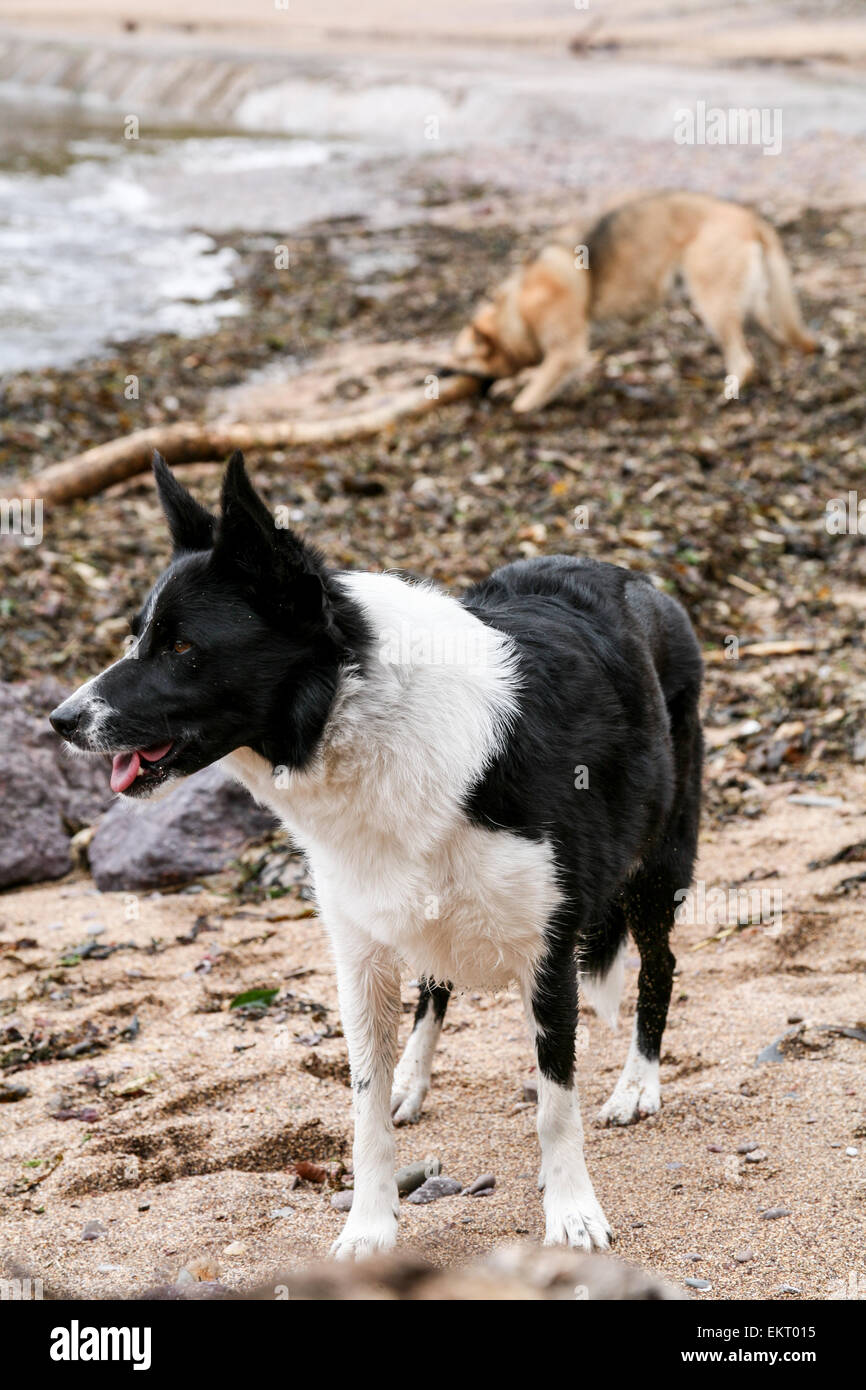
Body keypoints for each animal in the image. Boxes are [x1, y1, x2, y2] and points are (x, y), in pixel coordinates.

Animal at [48, 455, 706, 1262]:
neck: (355, 711)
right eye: (138, 635)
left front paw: (572, 1212)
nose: (60, 720)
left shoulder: (546, 948)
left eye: (180, 647)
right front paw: (369, 1224)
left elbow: (556, 1102)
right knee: (435, 988)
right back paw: (412, 1081)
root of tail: (642, 582)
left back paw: (638, 1085)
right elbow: (364, 1109)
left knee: (659, 965)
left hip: (657, 864)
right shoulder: (359, 949)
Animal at [453, 194, 817, 411]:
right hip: (745, 306)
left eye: (462, 360)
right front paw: (513, 383)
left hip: (713, 304)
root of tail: (752, 219)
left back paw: (726, 396)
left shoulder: (568, 351)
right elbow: (536, 372)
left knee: (744, 358)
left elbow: (528, 396)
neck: (517, 310)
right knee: (774, 344)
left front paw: (518, 400)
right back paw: (774, 383)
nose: (444, 373)